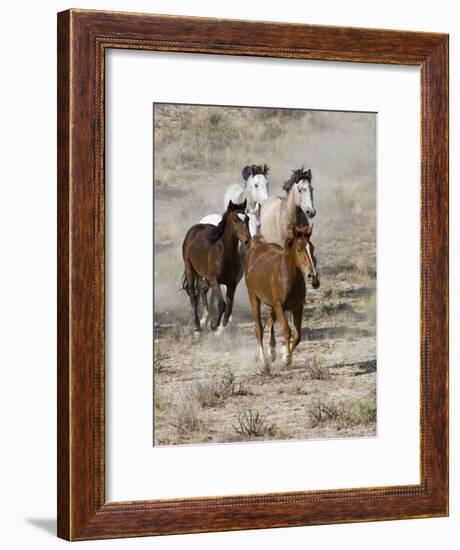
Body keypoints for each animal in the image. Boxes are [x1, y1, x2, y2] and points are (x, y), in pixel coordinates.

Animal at [181, 201, 250, 334]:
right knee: (193, 297)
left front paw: (220, 329)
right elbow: (222, 304)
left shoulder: (232, 283)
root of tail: (194, 229)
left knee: (201, 289)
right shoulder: (214, 280)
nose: (247, 241)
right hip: (190, 269)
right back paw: (197, 327)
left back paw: (204, 320)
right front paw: (214, 325)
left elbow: (229, 306)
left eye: (247, 219)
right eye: (235, 220)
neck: (225, 254)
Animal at [244, 226, 320, 368]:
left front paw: (284, 353)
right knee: (259, 328)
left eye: (312, 248)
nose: (313, 276)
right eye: (299, 249)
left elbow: (298, 335)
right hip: (254, 297)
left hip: (272, 304)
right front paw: (287, 358)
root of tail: (256, 246)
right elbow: (286, 330)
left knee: (269, 321)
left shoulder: (297, 307)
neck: (288, 277)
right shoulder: (279, 306)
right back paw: (264, 359)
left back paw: (272, 351)